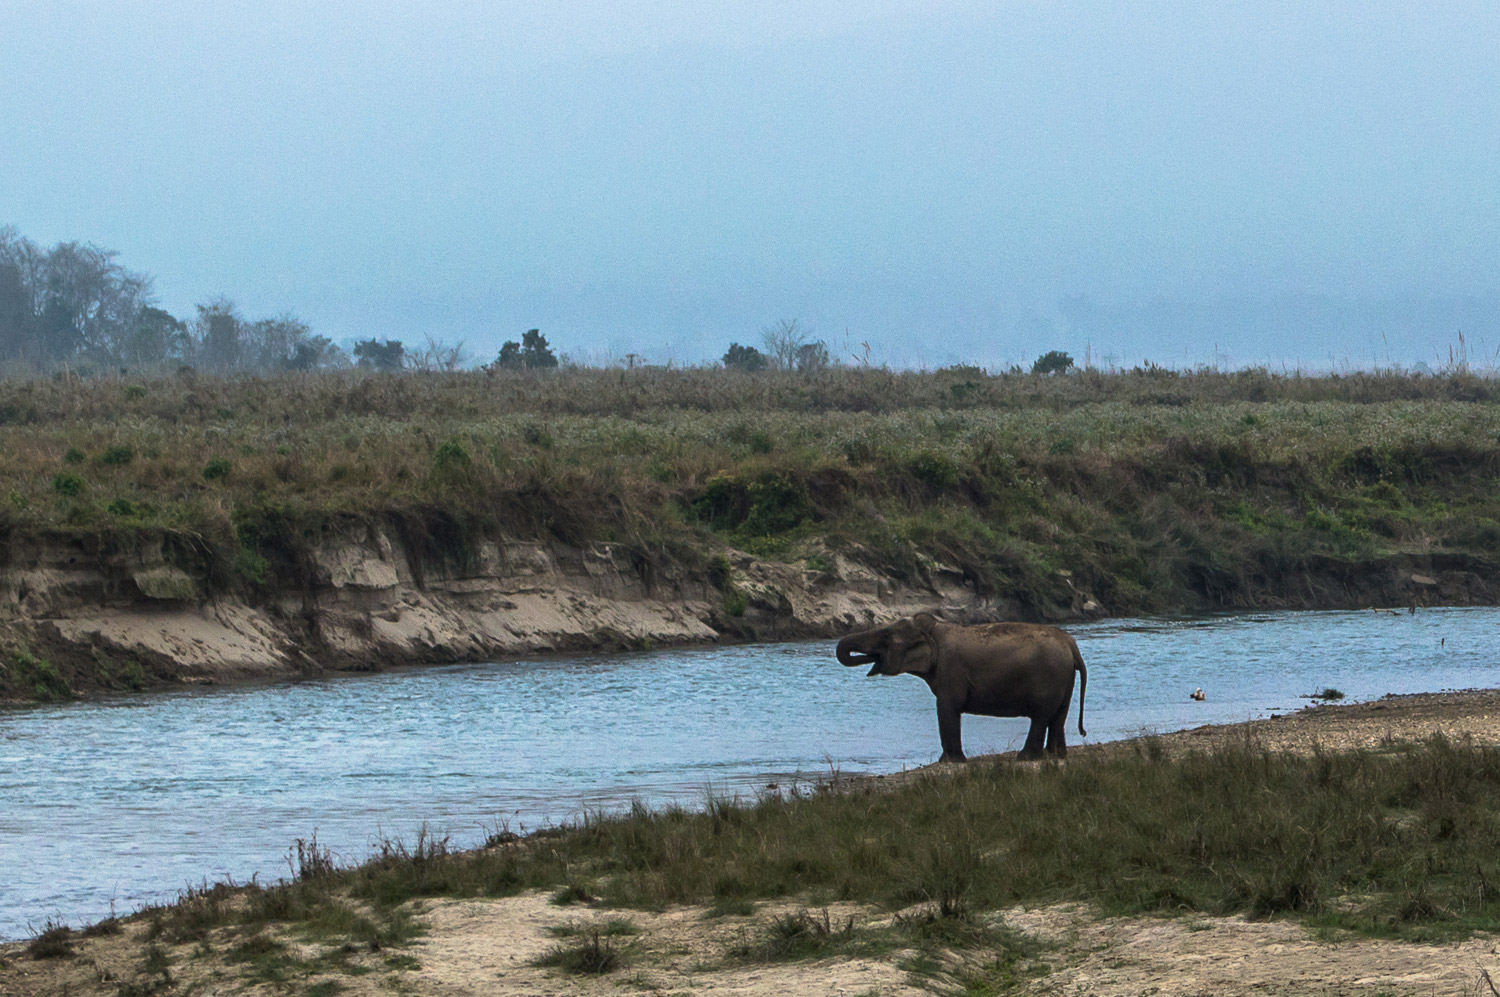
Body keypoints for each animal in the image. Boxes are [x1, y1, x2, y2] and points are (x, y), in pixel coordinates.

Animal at [835, 612, 1087, 763]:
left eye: (886, 635)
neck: (934, 629)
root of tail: (1071, 644)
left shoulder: (950, 669)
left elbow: (947, 707)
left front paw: (949, 762)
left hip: (1050, 676)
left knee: (1041, 716)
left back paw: (1024, 757)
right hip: (1064, 678)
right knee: (1058, 716)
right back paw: (1056, 756)